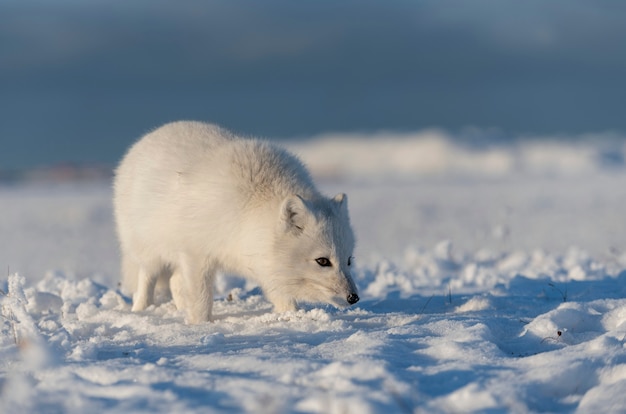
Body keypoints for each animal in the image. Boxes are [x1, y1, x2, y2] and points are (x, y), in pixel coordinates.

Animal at [112, 119, 356, 324]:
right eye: (323, 261)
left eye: (349, 260)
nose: (354, 297)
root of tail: (150, 136)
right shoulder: (197, 255)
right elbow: (201, 298)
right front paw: (201, 325)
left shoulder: (265, 262)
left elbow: (282, 297)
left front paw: (292, 318)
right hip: (149, 251)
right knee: (147, 280)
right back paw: (141, 311)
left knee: (175, 283)